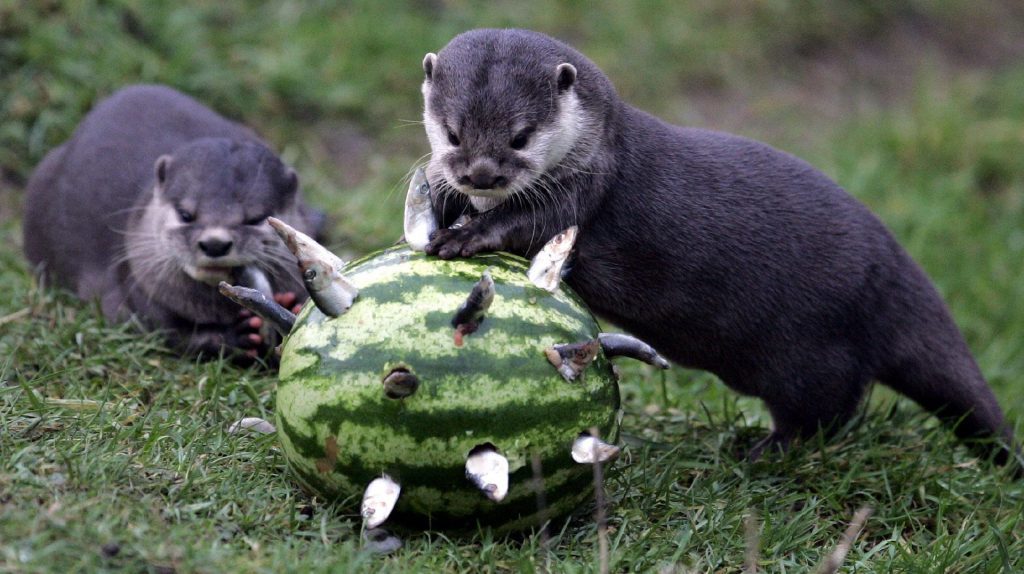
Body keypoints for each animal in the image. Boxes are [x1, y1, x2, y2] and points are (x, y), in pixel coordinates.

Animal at [24, 83, 321, 358]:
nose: (214, 244)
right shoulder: (137, 292)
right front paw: (233, 336)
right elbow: (171, 335)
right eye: (186, 214)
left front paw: (289, 305)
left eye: (256, 218)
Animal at [415, 28, 1015, 466]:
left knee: (830, 408)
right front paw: (444, 201)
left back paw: (763, 450)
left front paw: (464, 236)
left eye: (520, 136)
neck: (599, 143)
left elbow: (523, 223)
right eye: (451, 132)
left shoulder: (581, 191)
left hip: (813, 346)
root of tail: (890, 269)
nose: (480, 174)